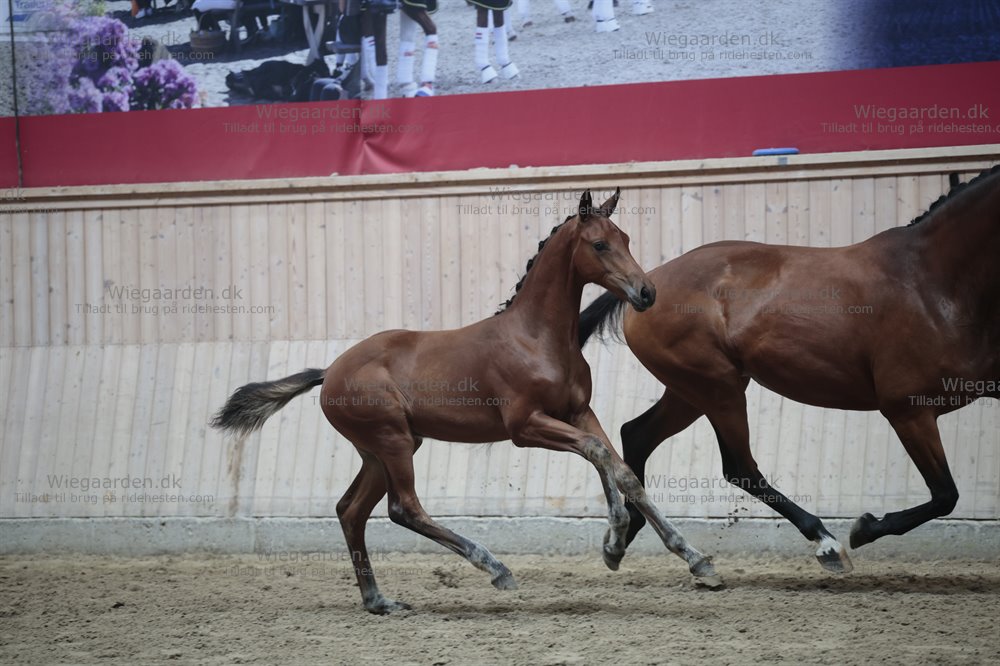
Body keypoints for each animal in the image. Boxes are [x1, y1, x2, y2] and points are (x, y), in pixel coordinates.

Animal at [211, 189, 721, 614]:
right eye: (599, 245)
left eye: (626, 239)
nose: (646, 292)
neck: (536, 337)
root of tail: (330, 371)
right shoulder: (525, 427)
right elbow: (600, 456)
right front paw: (618, 538)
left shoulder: (579, 413)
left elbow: (619, 469)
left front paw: (675, 556)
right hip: (393, 441)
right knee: (404, 508)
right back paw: (494, 568)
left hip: (382, 450)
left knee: (351, 510)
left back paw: (379, 601)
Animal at [578, 165, 1000, 573]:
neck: (931, 281)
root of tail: (642, 289)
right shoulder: (908, 410)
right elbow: (945, 495)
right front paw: (864, 528)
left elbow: (947, 493)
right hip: (717, 387)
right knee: (740, 467)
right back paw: (826, 543)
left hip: (690, 392)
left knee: (637, 434)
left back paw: (623, 540)